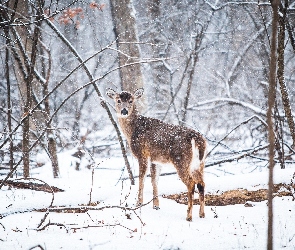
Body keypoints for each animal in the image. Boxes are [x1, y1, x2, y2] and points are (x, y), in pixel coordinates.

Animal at [107, 88, 208, 221]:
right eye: (118, 100)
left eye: (131, 100)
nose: (124, 111)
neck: (132, 130)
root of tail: (197, 139)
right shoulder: (156, 160)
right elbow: (154, 181)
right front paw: (156, 206)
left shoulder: (142, 154)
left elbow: (142, 180)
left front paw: (138, 204)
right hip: (199, 164)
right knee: (201, 183)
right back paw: (202, 214)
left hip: (181, 160)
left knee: (191, 183)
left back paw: (189, 216)